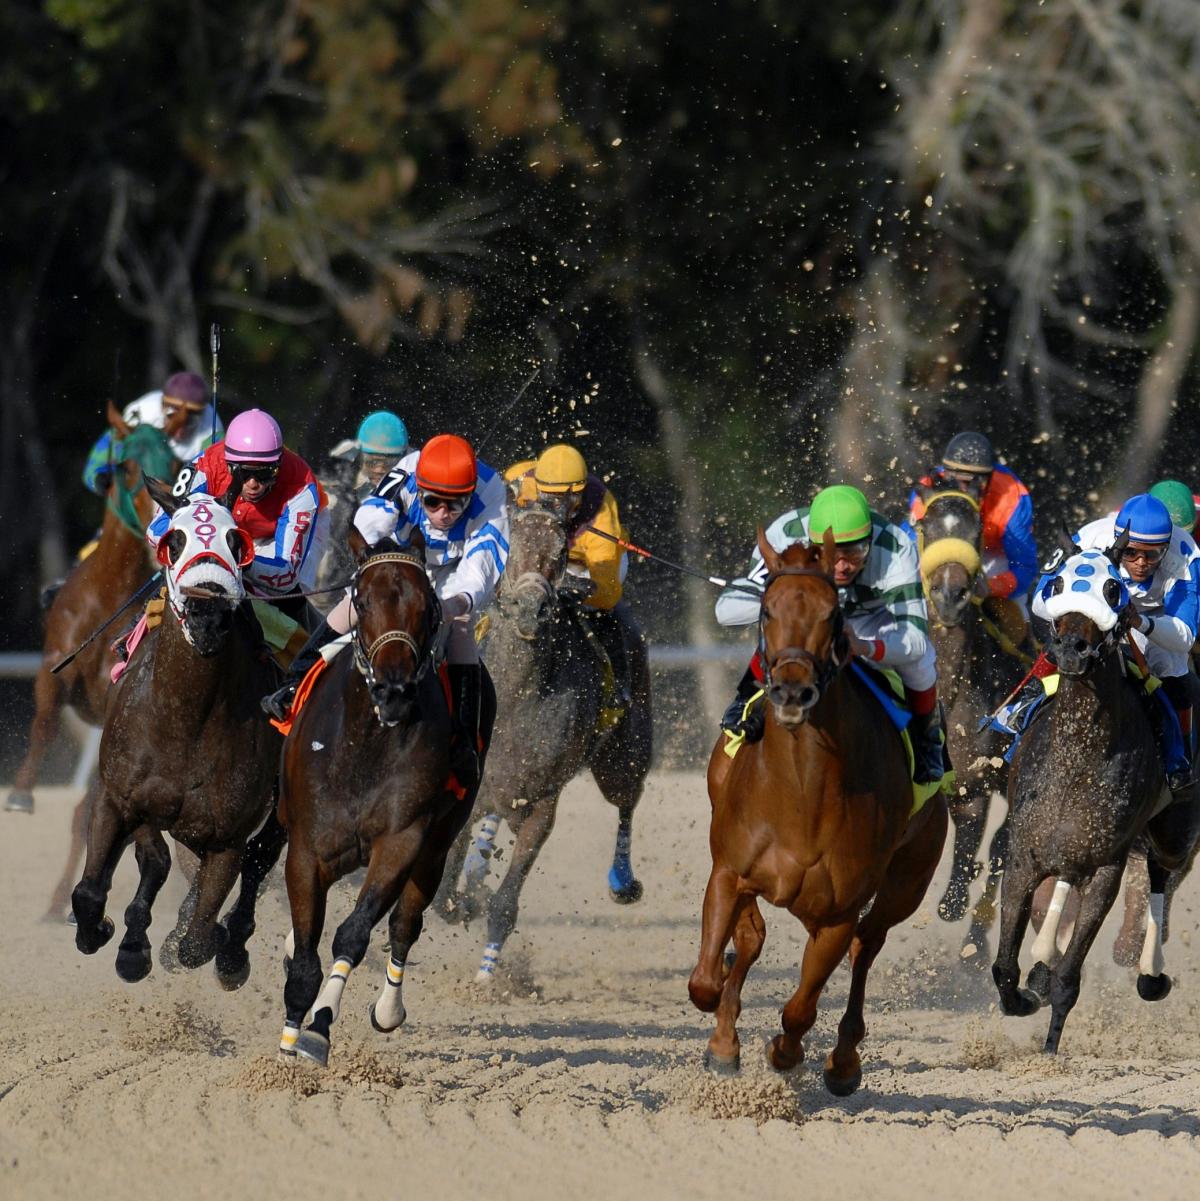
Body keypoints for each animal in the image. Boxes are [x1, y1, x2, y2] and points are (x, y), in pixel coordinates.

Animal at [71, 479, 285, 989]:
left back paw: (230, 948)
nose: (207, 614)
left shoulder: (227, 836)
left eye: (236, 540)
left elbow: (197, 941)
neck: (185, 719)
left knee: (259, 860)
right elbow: (91, 891)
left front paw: (209, 945)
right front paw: (107, 933)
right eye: (176, 539)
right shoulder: (118, 796)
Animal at [276, 530, 497, 1068]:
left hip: (438, 845)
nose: (393, 690)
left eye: (427, 605)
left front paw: (317, 1030)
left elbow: (354, 933)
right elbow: (306, 954)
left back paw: (389, 1008)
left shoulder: (402, 841)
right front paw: (286, 1048)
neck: (363, 743)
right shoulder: (306, 849)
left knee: (404, 923)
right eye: (361, 600)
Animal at [432, 504, 652, 983]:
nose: (531, 608)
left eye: (561, 552)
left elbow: (504, 903)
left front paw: (487, 978)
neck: (517, 699)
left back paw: (622, 881)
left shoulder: (541, 803)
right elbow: (445, 890)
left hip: (625, 757)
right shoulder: (474, 789)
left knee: (627, 802)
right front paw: (463, 899)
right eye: (509, 546)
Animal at [689, 531, 948, 1095]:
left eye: (833, 615)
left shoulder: (837, 912)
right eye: (767, 609)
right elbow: (706, 979)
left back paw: (845, 1059)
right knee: (752, 941)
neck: (801, 795)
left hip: (907, 883)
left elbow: (801, 1009)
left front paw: (785, 1051)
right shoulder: (728, 872)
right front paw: (722, 1041)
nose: (791, 690)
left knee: (867, 945)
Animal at [992, 553, 1200, 1053]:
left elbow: (1070, 975)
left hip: (1175, 833)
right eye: (1057, 583)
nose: (1072, 649)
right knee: (1069, 879)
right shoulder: (1024, 855)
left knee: (1162, 872)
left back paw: (1151, 975)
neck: (1078, 756)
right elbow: (1004, 966)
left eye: (1112, 590)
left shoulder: (1108, 865)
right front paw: (1024, 995)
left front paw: (1050, 1047)